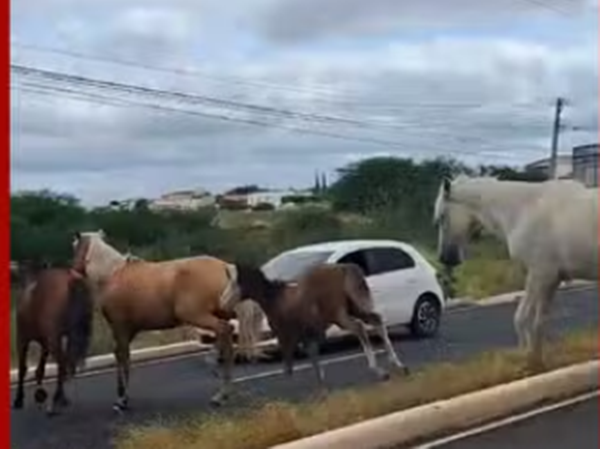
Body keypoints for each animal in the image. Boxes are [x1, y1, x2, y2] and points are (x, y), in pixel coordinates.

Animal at [11, 262, 93, 412]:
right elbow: (40, 369)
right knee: (66, 362)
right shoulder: (46, 342)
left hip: (53, 339)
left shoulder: (23, 339)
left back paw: (57, 398)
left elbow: (23, 369)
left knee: (62, 363)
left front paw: (19, 399)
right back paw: (60, 397)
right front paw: (39, 394)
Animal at [72, 229, 244, 412]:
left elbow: (122, 357)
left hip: (198, 315)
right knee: (227, 337)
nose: (74, 272)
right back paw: (223, 391)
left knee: (224, 331)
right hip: (221, 314)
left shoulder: (119, 328)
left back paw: (217, 379)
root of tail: (224, 267)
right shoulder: (129, 330)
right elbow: (123, 357)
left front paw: (122, 399)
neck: (111, 274)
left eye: (74, 248)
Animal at [230, 260, 408, 390]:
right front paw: (322, 386)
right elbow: (313, 357)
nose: (226, 303)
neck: (275, 300)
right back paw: (399, 365)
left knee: (359, 328)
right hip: (355, 308)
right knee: (377, 320)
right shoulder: (308, 334)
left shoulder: (287, 336)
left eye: (235, 283)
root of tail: (344, 269)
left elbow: (289, 366)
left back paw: (379, 371)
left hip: (339, 315)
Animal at [434, 173, 596, 370]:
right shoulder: (552, 280)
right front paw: (537, 361)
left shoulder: (539, 275)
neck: (523, 210)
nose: (444, 258)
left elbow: (521, 318)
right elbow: (539, 321)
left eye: (442, 217)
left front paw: (526, 360)